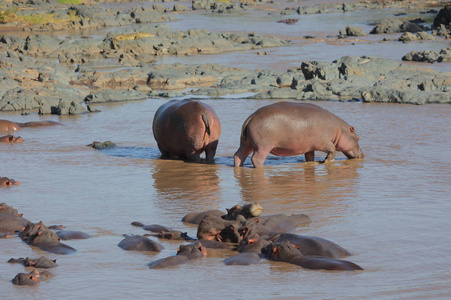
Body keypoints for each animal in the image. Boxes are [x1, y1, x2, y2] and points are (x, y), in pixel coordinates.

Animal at [235, 102, 366, 168]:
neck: (339, 130)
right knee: (256, 159)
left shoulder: (310, 147)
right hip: (262, 146)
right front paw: (326, 161)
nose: (363, 155)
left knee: (238, 155)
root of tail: (252, 117)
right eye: (358, 138)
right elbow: (332, 150)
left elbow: (310, 156)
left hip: (246, 144)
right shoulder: (325, 143)